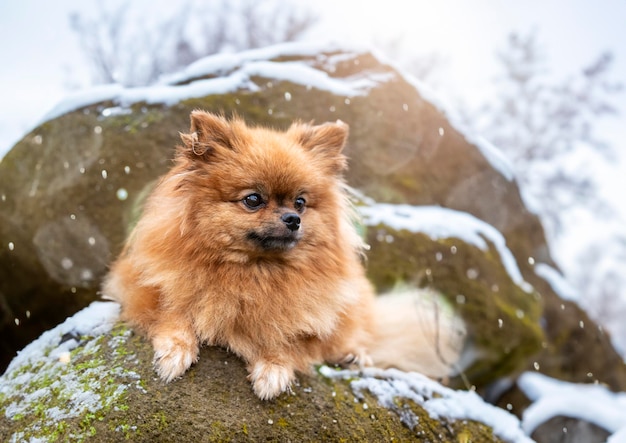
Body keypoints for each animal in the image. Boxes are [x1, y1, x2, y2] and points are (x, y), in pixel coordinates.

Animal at [102, 112, 464, 402]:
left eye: (300, 202)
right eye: (253, 200)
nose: (293, 219)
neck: (254, 272)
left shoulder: (303, 319)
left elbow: (287, 338)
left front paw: (273, 369)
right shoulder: (143, 287)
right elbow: (172, 313)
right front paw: (176, 350)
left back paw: (352, 356)